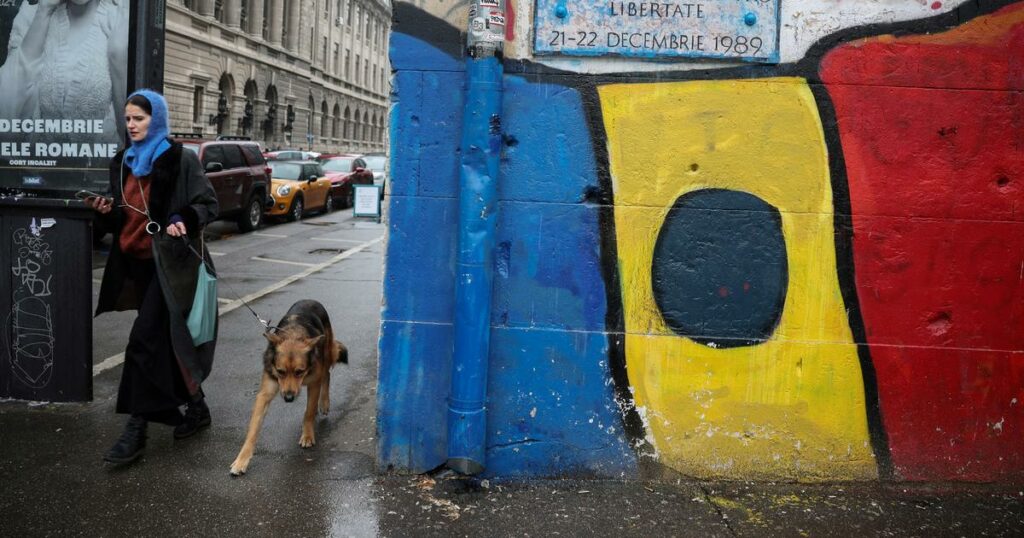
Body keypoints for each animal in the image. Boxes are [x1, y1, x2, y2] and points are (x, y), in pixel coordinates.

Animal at [229, 297, 348, 473]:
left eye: (299, 372)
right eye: (280, 371)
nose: (289, 398)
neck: (294, 334)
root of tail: (310, 299)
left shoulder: (313, 383)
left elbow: (308, 412)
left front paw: (307, 435)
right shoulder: (264, 394)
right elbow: (253, 429)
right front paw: (241, 460)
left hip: (327, 352)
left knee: (326, 374)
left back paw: (324, 403)